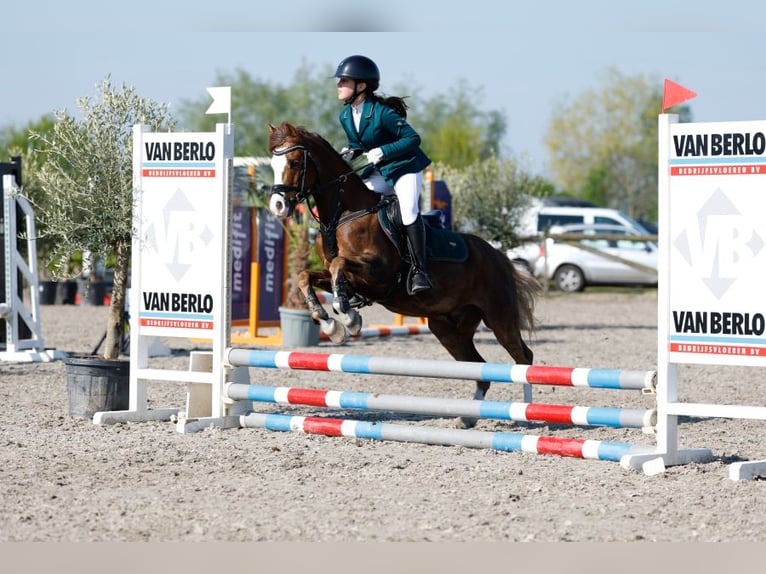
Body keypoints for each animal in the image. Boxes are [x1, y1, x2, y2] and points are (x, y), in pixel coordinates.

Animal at [266, 122, 539, 427]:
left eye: (294, 162)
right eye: (272, 163)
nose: (277, 206)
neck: (343, 214)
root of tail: (498, 256)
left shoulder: (378, 274)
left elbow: (339, 267)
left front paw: (348, 316)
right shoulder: (341, 275)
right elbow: (307, 277)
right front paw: (329, 323)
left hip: (499, 318)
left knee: (522, 356)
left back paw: (525, 411)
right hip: (449, 329)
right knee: (479, 367)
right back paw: (468, 419)